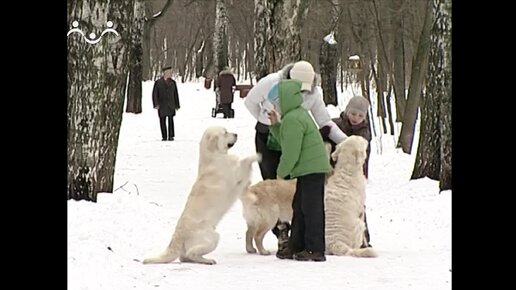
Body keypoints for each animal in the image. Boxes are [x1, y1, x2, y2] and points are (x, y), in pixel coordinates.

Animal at [142, 125, 260, 266]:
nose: (236, 134)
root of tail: (177, 237)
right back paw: (208, 260)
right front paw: (257, 156)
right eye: (225, 132)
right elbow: (246, 160)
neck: (214, 156)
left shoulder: (239, 183)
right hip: (213, 237)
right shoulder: (237, 175)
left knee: (184, 257)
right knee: (191, 253)